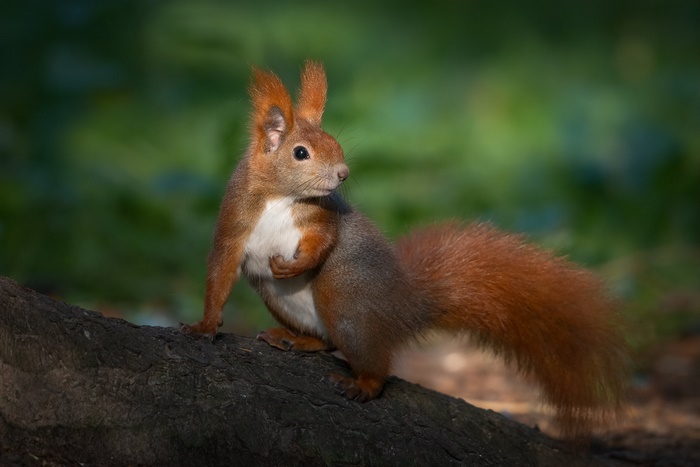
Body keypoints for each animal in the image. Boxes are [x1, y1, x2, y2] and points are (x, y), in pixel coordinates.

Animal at [181, 61, 628, 439]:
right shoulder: (235, 221)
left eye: (336, 142)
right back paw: (297, 340)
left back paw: (362, 383)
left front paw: (294, 266)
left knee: (373, 363)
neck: (281, 196)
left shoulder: (323, 217)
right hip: (284, 301)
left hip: (345, 300)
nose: (343, 173)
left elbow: (325, 243)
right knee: (327, 341)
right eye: (300, 152)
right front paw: (204, 326)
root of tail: (405, 307)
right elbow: (220, 271)